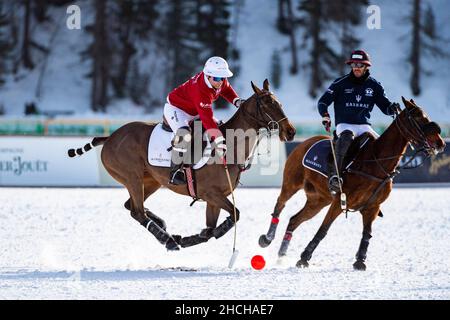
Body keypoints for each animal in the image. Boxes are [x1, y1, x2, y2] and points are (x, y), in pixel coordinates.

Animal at [68, 79, 298, 250]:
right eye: (267, 104)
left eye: (280, 103)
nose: (291, 131)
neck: (231, 147)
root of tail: (109, 138)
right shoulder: (211, 193)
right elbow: (235, 214)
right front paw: (186, 238)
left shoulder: (214, 198)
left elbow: (210, 230)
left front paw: (189, 238)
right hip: (131, 177)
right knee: (137, 211)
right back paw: (167, 239)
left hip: (151, 181)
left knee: (131, 206)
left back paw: (164, 227)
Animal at [258, 97, 444, 270]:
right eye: (417, 117)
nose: (440, 143)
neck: (376, 163)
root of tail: (304, 142)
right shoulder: (339, 201)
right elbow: (323, 229)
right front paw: (304, 258)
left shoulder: (372, 207)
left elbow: (367, 234)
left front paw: (360, 261)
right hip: (292, 183)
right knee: (280, 204)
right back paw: (267, 238)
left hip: (318, 200)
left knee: (294, 220)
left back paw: (281, 255)